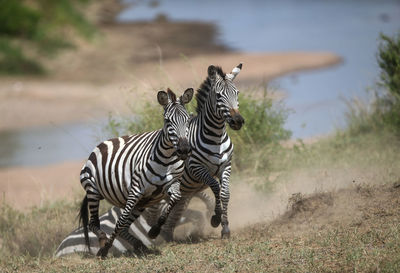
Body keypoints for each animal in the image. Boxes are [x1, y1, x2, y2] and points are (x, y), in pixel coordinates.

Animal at [78, 87, 194, 258]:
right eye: (167, 121)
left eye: (188, 120)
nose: (184, 150)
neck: (166, 159)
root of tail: (100, 146)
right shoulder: (136, 189)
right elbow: (119, 221)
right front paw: (106, 249)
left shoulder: (172, 184)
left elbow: (176, 198)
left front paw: (154, 230)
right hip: (93, 190)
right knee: (95, 224)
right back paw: (103, 244)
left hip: (142, 202)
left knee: (124, 227)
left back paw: (140, 245)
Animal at [148, 63, 245, 240]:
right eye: (219, 96)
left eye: (237, 93)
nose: (238, 121)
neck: (216, 137)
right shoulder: (196, 167)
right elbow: (215, 187)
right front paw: (215, 218)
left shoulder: (226, 166)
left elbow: (225, 194)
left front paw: (225, 229)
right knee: (151, 212)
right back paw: (154, 234)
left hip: (182, 193)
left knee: (174, 211)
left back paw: (167, 234)